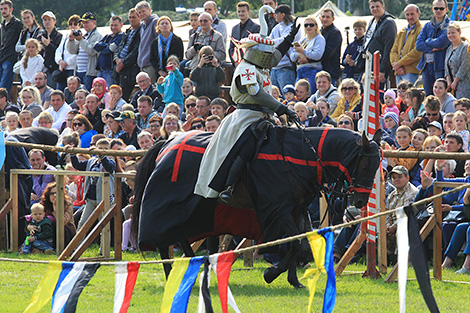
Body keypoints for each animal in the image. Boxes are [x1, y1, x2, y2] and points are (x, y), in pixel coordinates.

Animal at [132, 125, 382, 286]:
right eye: (365, 164)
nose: (361, 200)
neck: (301, 156)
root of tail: (167, 141)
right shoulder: (280, 210)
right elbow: (295, 243)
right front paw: (272, 274)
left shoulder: (296, 209)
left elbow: (298, 243)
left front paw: (293, 280)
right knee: (163, 239)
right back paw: (171, 273)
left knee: (182, 236)